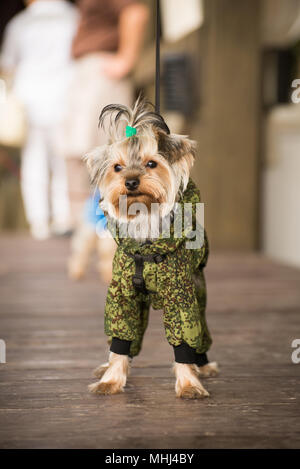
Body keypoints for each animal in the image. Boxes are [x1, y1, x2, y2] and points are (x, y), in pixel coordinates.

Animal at [84, 97, 218, 396]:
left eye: (151, 163)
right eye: (117, 167)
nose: (131, 181)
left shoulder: (181, 297)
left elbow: (184, 338)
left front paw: (189, 383)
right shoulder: (122, 295)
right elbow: (121, 337)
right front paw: (111, 379)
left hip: (199, 291)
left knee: (201, 332)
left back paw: (202, 365)